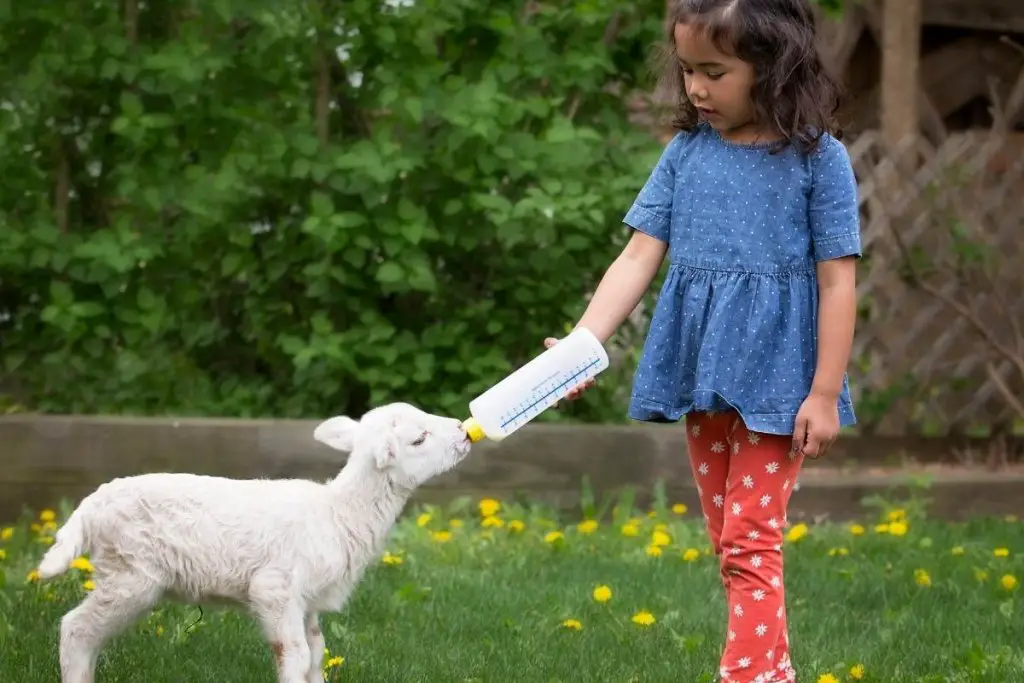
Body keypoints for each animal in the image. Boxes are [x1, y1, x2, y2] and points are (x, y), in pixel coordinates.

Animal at [36, 403, 473, 683]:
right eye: (419, 439)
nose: (464, 431)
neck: (339, 512)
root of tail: (91, 505)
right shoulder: (274, 588)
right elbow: (294, 655)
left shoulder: (307, 600)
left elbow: (315, 653)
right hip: (130, 572)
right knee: (75, 628)